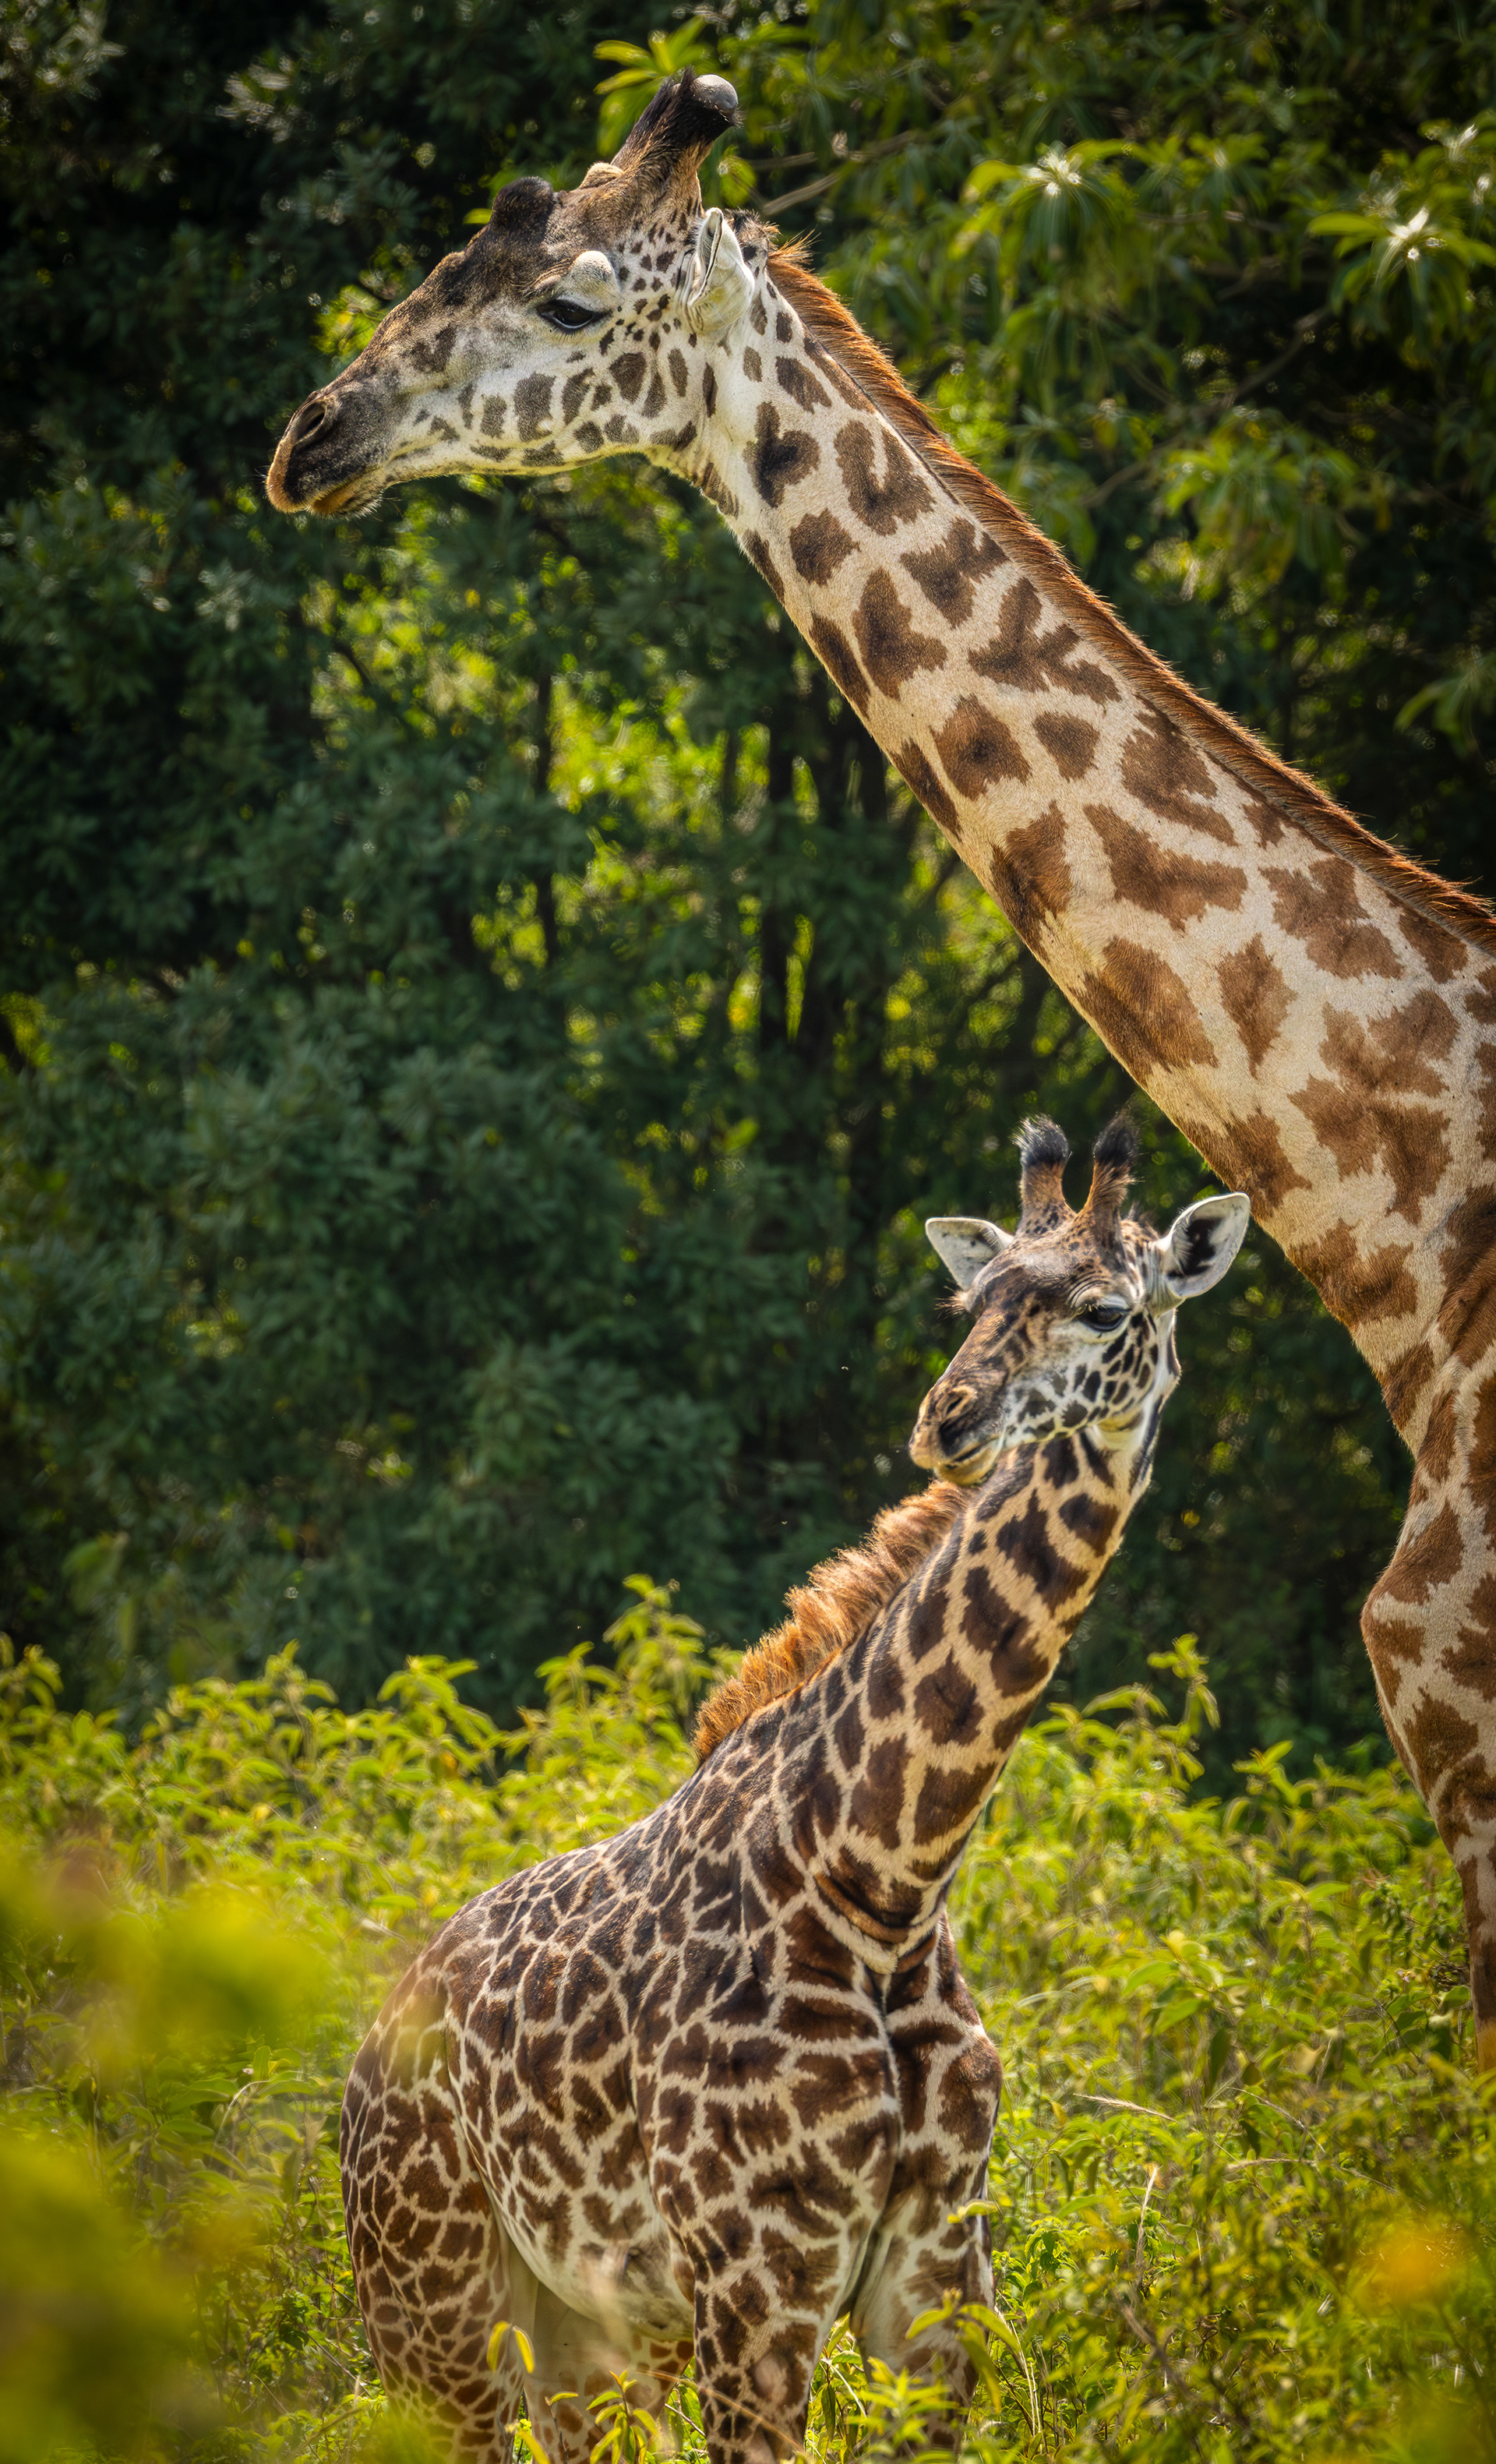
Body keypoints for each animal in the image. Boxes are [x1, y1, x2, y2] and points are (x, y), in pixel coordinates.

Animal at [339, 1116, 1248, 2464]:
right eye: (970, 1297)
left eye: (1102, 1307)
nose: (948, 1418)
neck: (881, 1874)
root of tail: (363, 2051)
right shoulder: (756, 2281)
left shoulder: (937, 2289)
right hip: (434, 2309)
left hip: (590, 2337)